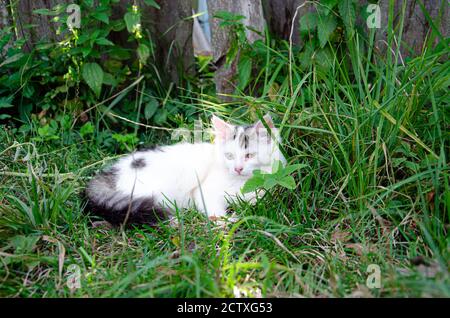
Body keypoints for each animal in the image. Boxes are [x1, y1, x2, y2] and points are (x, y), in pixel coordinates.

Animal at [85, 114, 284, 226]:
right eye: (229, 156)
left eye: (249, 155)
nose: (238, 168)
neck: (242, 183)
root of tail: (110, 174)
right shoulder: (203, 191)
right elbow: (214, 210)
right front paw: (226, 221)